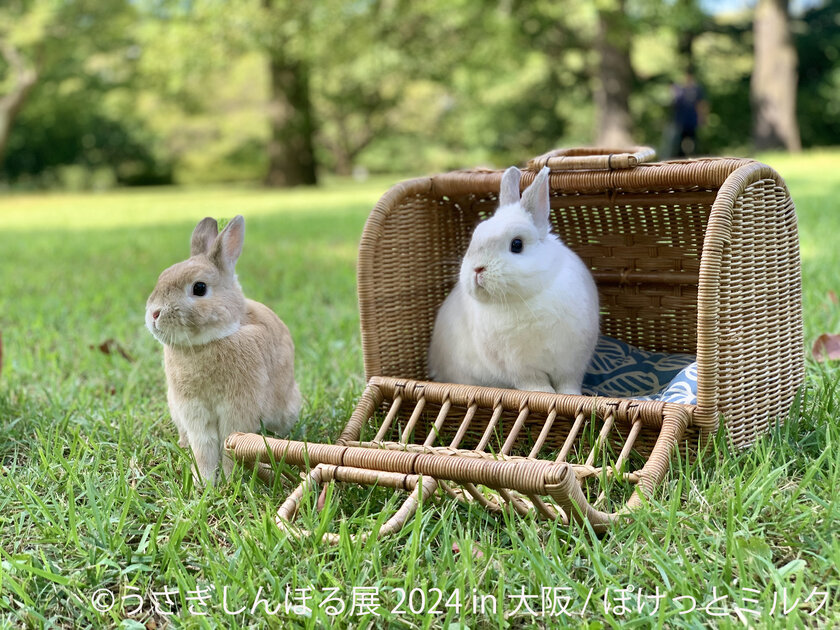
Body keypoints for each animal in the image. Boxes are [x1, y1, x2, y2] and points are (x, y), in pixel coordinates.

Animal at [146, 217, 300, 484]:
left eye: (199, 288)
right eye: (162, 276)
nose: (154, 314)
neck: (208, 342)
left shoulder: (237, 409)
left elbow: (229, 446)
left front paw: (228, 481)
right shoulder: (194, 411)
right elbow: (204, 447)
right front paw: (204, 482)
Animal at [430, 168, 600, 396]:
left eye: (517, 244)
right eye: (474, 238)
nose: (477, 270)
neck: (527, 297)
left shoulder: (572, 362)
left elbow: (568, 383)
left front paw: (571, 396)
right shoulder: (519, 367)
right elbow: (534, 383)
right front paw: (545, 394)